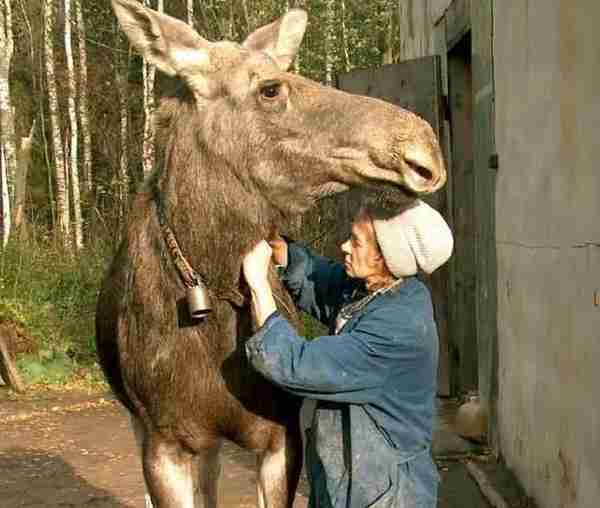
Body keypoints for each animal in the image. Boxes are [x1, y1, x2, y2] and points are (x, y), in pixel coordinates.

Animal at [97, 0, 446, 508]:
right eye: (270, 88)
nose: (425, 152)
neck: (215, 285)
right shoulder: (165, 441)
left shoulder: (280, 432)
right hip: (140, 422)